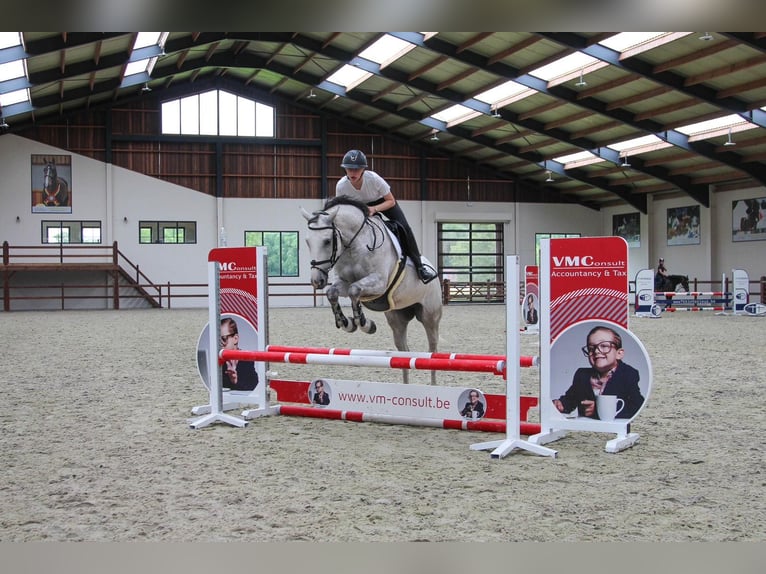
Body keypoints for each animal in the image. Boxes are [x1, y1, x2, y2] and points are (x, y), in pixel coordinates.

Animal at [302, 198, 444, 388]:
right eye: (307, 241)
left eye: (326, 241)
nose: (317, 281)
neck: (354, 246)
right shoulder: (344, 283)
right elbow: (333, 292)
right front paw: (347, 323)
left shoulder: (379, 283)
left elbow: (355, 290)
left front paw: (364, 324)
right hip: (397, 319)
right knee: (404, 353)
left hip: (430, 317)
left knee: (432, 351)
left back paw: (434, 386)